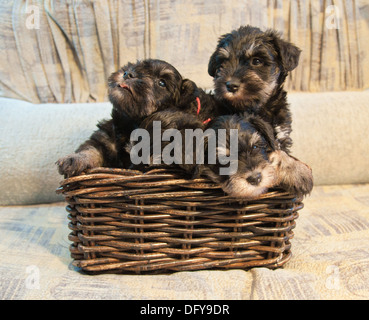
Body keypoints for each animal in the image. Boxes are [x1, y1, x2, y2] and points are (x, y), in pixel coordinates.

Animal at [55, 59, 196, 178]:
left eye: (162, 82)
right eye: (136, 65)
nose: (128, 73)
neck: (131, 123)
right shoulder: (105, 140)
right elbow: (91, 149)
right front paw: (74, 159)